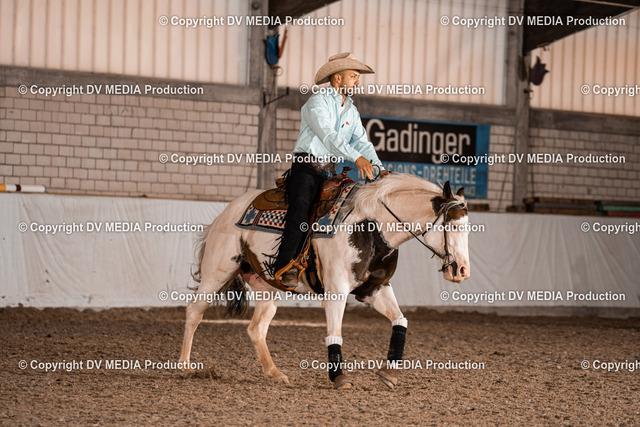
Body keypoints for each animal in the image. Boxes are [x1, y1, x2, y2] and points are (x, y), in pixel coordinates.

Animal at [178, 173, 471, 389]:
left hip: (267, 290)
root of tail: (226, 213)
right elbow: (335, 332)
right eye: (454, 226)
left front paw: (389, 373)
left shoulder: (375, 289)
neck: (372, 227)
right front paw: (339, 377)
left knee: (256, 330)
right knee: (194, 312)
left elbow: (400, 321)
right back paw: (184, 367)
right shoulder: (336, 291)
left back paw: (274, 374)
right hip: (217, 272)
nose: (462, 271)